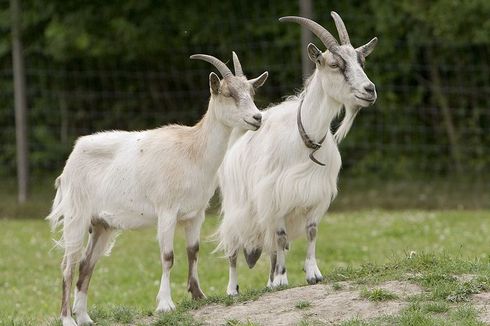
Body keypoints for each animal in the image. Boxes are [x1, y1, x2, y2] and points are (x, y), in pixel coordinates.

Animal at [46, 52, 268, 324]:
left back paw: (85, 317)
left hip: (102, 225)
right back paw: (68, 318)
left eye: (252, 92)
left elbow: (193, 251)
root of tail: (72, 158)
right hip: (76, 218)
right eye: (228, 93)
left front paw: (198, 295)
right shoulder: (167, 211)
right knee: (68, 266)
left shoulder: (195, 214)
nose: (257, 118)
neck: (193, 152)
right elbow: (167, 256)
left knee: (86, 264)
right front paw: (165, 304)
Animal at [217, 12, 378, 296]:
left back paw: (269, 281)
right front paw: (282, 279)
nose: (369, 90)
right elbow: (281, 237)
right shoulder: (275, 195)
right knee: (234, 249)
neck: (305, 140)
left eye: (362, 61)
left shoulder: (315, 193)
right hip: (237, 208)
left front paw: (312, 274)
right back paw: (234, 289)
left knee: (269, 245)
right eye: (335, 64)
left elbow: (311, 233)